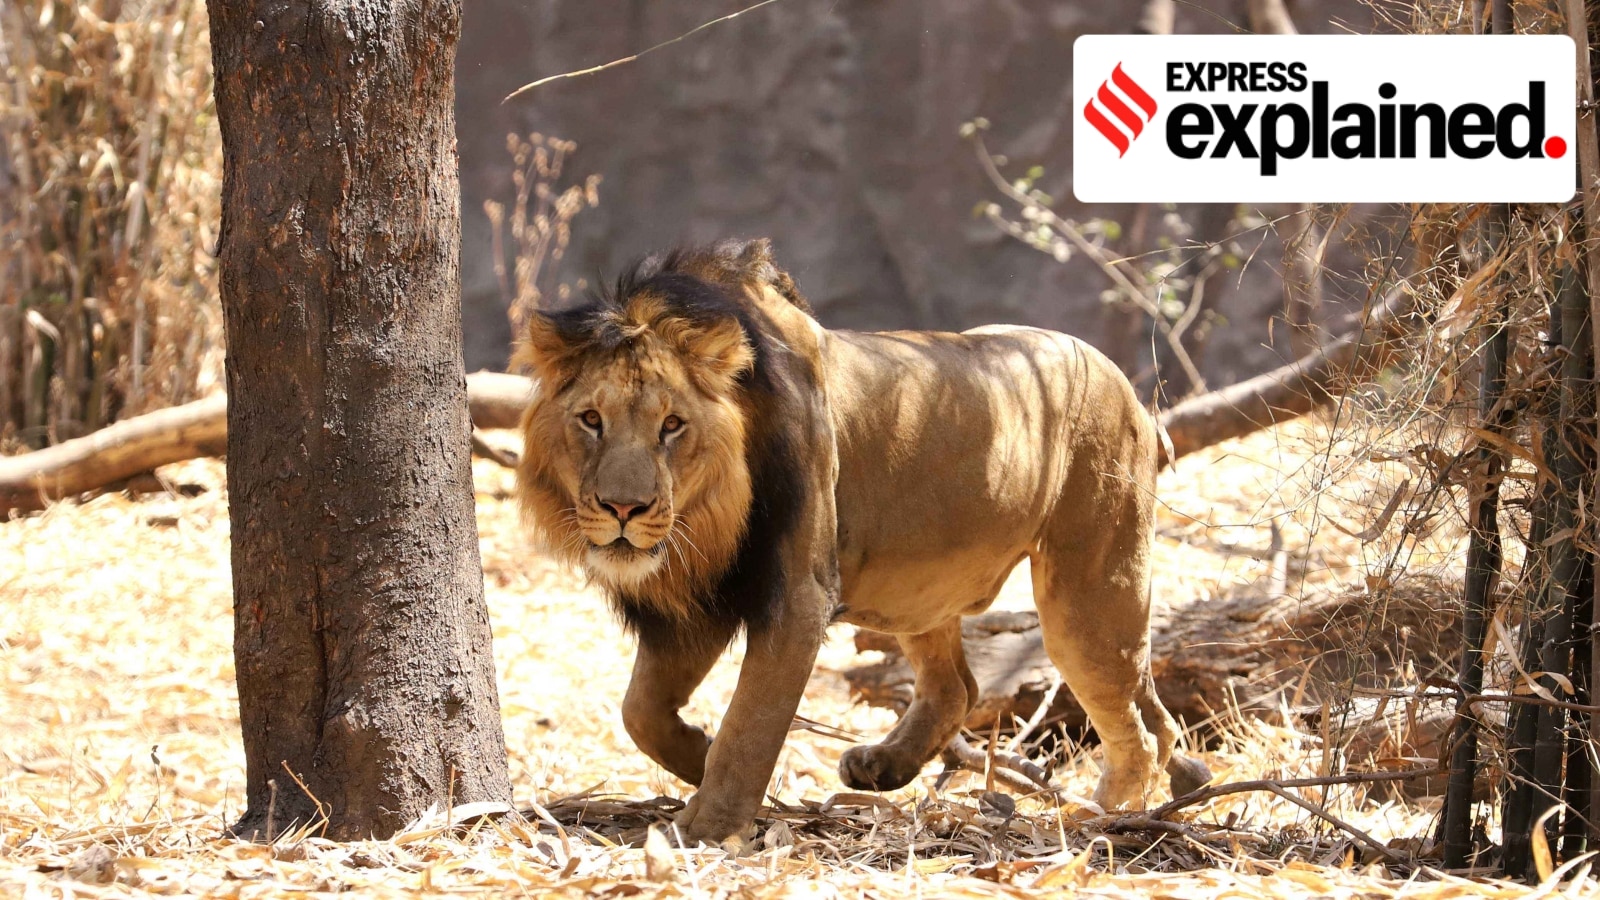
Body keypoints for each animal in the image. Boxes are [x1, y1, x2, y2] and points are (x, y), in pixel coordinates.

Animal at [515, 239, 1210, 847]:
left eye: (672, 426)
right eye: (591, 420)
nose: (623, 508)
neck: (709, 521)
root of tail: (1133, 396)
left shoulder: (795, 595)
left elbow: (750, 721)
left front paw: (709, 825)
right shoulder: (704, 594)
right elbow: (641, 711)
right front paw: (697, 758)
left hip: (1091, 589)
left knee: (1131, 716)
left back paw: (1107, 811)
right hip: (921, 585)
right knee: (966, 688)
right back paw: (886, 766)